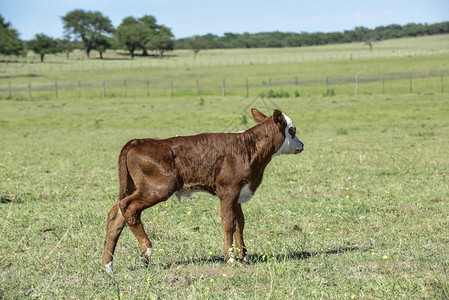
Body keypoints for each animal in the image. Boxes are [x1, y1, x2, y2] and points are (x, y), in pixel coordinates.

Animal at [102, 108, 300, 272]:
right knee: (128, 207)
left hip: (134, 187)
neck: (248, 148)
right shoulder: (228, 190)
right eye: (292, 130)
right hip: (158, 189)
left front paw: (244, 257)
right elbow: (228, 222)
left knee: (116, 215)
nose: (302, 145)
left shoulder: (239, 192)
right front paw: (230, 259)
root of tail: (138, 142)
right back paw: (146, 250)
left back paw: (107, 265)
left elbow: (240, 224)